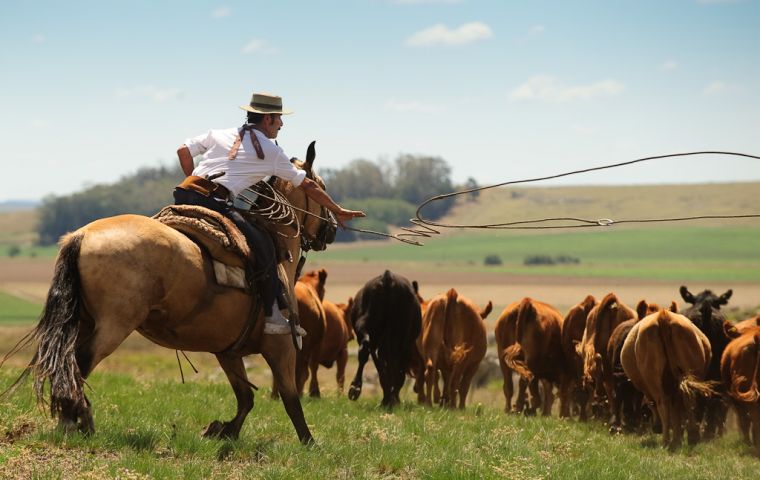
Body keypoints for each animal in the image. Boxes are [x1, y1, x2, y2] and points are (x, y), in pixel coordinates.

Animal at [13, 141, 334, 444]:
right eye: (322, 186)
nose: (330, 230)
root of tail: (80, 236)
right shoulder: (281, 347)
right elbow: (290, 399)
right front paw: (309, 443)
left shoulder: (227, 351)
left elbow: (246, 397)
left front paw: (223, 430)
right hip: (113, 326)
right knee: (79, 362)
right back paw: (77, 419)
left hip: (82, 321)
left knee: (65, 364)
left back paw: (72, 419)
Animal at [620, 310, 716, 448]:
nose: (656, 428)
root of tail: (663, 315)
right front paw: (678, 438)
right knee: (688, 399)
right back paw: (692, 436)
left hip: (655, 382)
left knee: (663, 404)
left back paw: (666, 441)